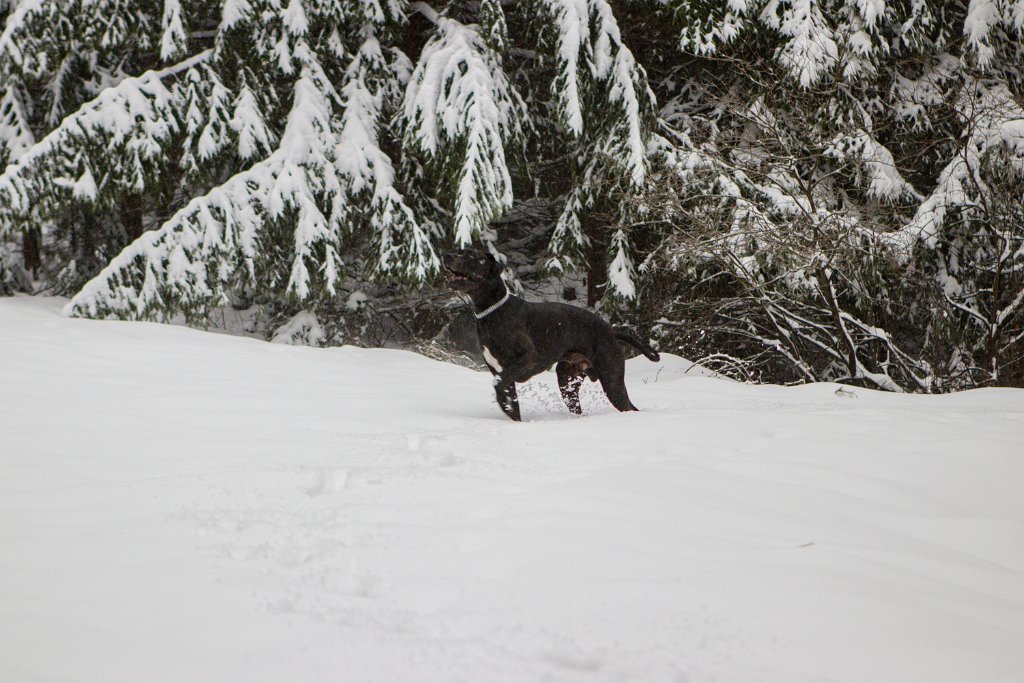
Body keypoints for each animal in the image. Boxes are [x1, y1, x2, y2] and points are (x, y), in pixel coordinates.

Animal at [444, 250, 659, 421]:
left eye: (473, 256)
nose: (447, 255)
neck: (493, 312)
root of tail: (611, 331)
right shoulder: (502, 372)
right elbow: (511, 401)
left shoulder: (526, 357)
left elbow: (499, 382)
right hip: (567, 381)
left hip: (612, 380)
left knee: (629, 407)